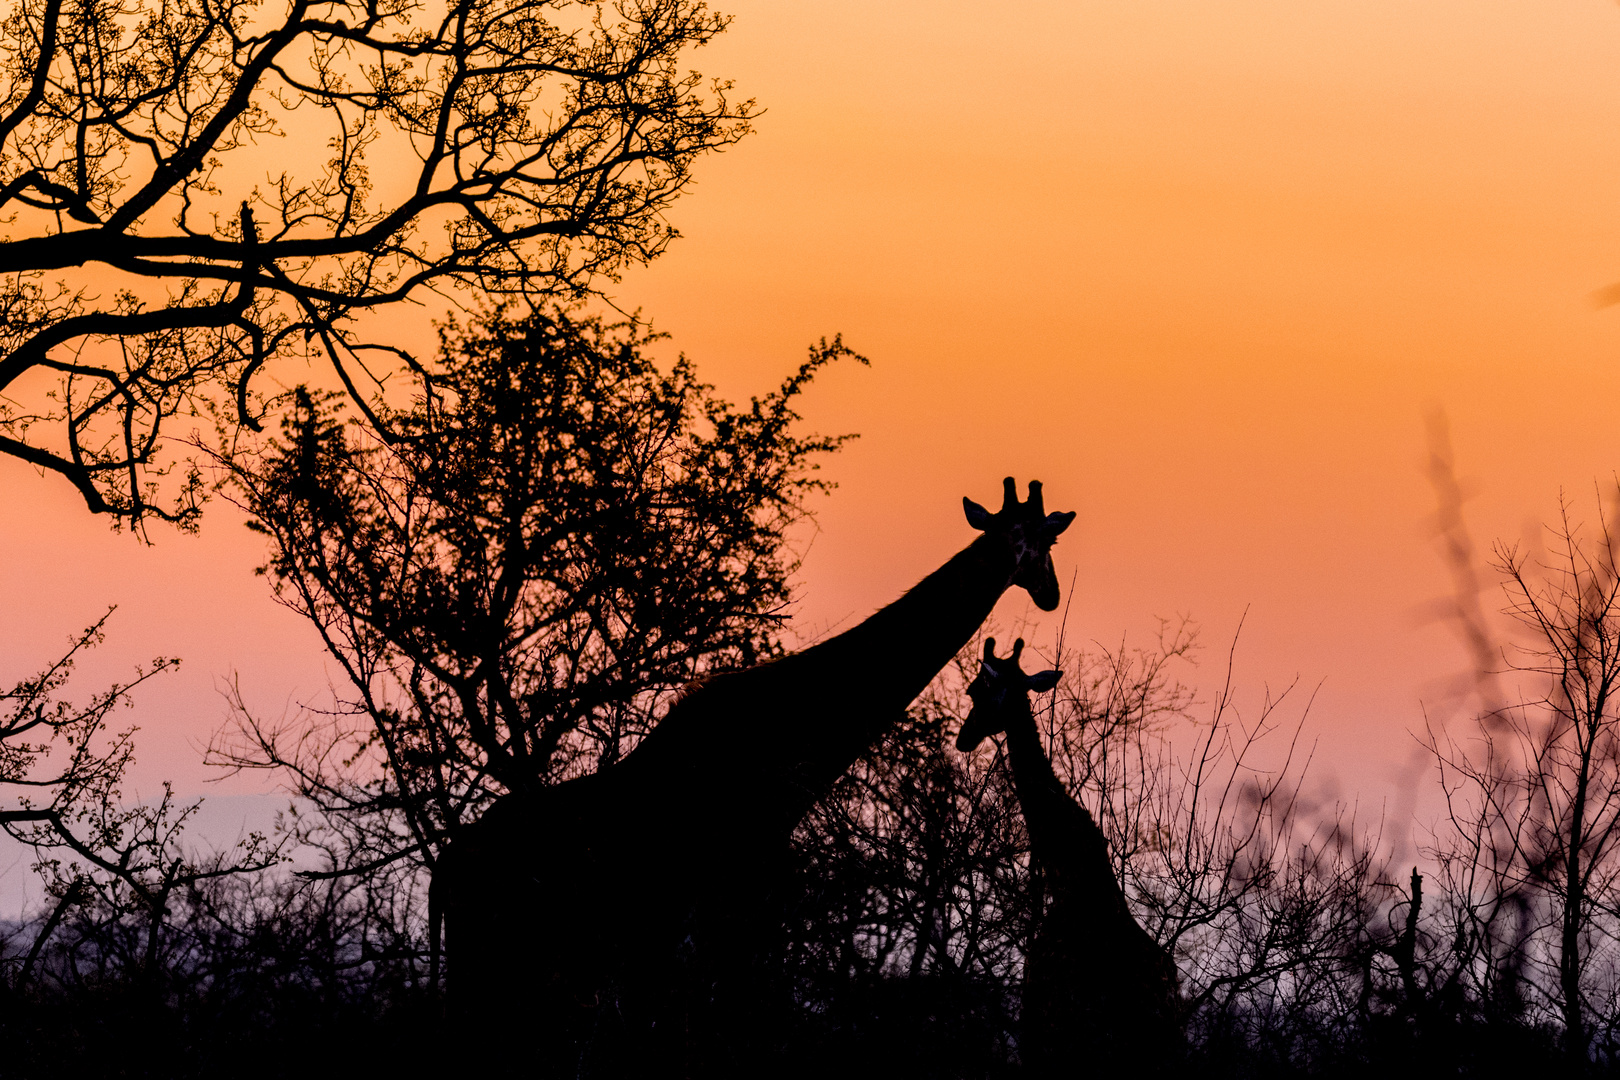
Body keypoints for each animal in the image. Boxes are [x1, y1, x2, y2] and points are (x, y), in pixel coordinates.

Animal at [443, 479, 1075, 1075]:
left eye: (1050, 537)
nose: (1049, 593)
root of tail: (448, 868)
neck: (787, 736)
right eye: (1028, 539)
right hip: (508, 966)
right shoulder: (732, 908)